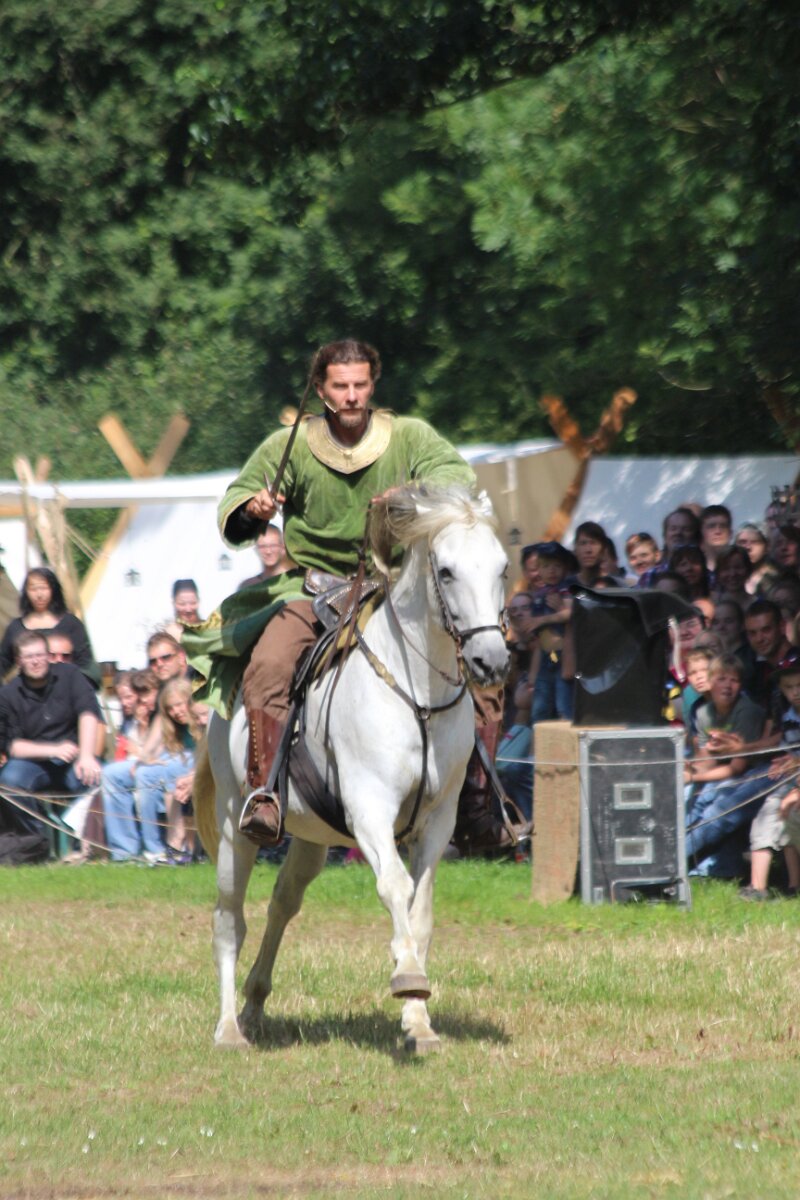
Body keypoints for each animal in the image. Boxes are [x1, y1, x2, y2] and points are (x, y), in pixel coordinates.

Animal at [194, 485, 510, 1053]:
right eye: (447, 571)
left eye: (502, 568)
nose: (491, 662)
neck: (417, 694)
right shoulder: (371, 811)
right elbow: (395, 887)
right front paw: (408, 978)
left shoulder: (439, 821)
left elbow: (421, 909)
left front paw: (418, 1020)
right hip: (236, 827)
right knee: (230, 919)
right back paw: (229, 1028)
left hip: (310, 837)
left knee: (282, 904)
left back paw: (254, 1003)